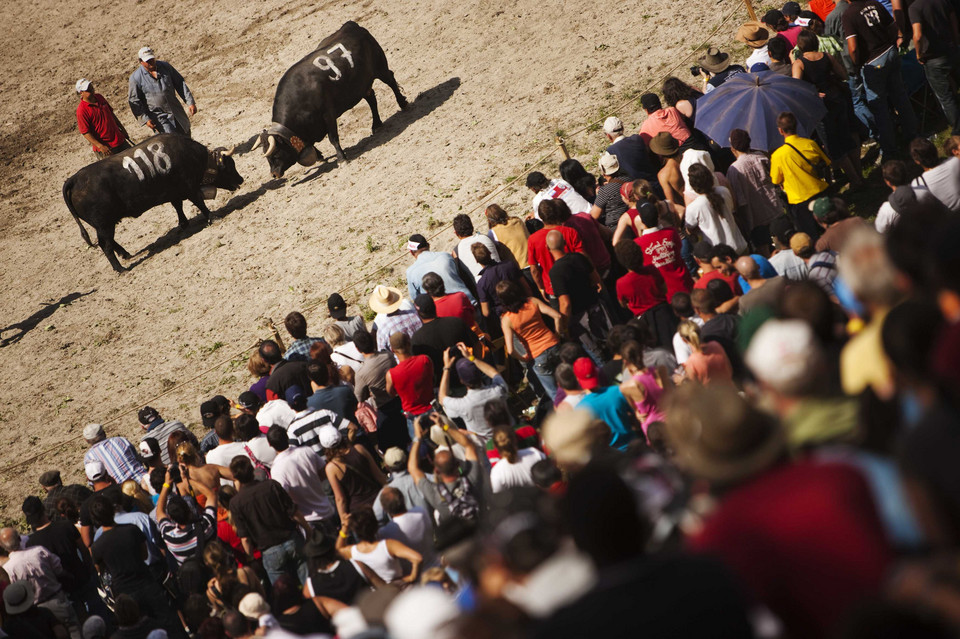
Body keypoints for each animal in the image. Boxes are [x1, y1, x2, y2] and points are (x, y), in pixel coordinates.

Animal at [62, 134, 244, 274]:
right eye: (229, 165)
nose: (241, 179)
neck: (189, 155)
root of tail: (74, 179)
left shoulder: (175, 191)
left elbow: (177, 206)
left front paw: (183, 223)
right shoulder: (190, 187)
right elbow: (200, 203)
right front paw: (213, 217)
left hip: (104, 225)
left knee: (110, 242)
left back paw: (125, 254)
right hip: (104, 224)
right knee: (105, 245)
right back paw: (120, 269)